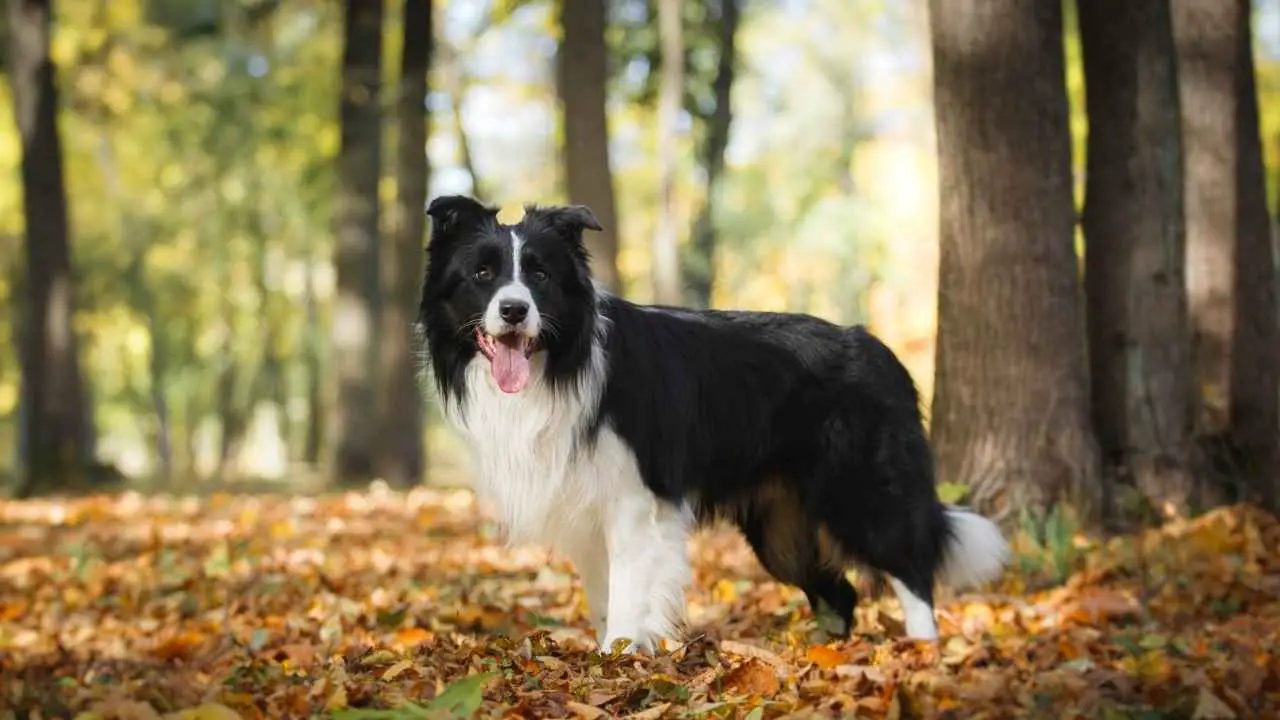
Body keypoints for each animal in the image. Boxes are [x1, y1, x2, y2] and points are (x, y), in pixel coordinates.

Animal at [419, 194, 1008, 650]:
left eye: (539, 274)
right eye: (483, 275)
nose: (514, 310)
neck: (560, 364)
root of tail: (877, 347)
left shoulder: (634, 503)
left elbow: (628, 596)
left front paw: (618, 660)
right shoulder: (585, 507)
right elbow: (604, 598)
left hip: (862, 489)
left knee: (911, 570)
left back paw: (922, 652)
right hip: (781, 528)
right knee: (839, 593)